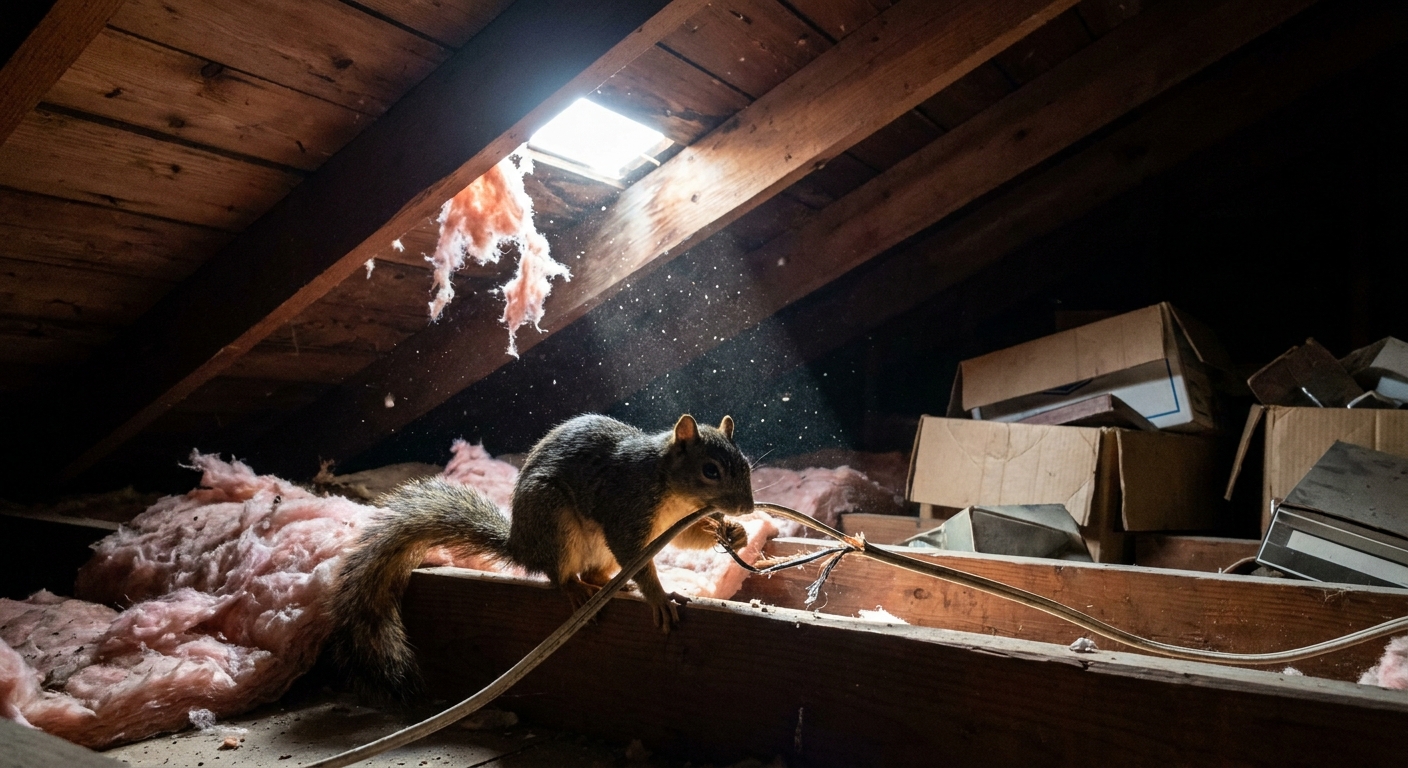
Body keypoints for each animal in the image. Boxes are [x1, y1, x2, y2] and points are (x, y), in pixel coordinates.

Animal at [324, 413, 754, 699]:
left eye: (746, 465)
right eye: (711, 470)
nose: (748, 508)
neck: (671, 489)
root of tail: (522, 545)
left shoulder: (675, 524)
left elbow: (690, 539)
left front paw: (735, 533)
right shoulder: (627, 511)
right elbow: (638, 558)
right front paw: (659, 597)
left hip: (595, 552)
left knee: (596, 574)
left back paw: (614, 587)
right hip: (555, 523)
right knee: (560, 575)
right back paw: (578, 590)